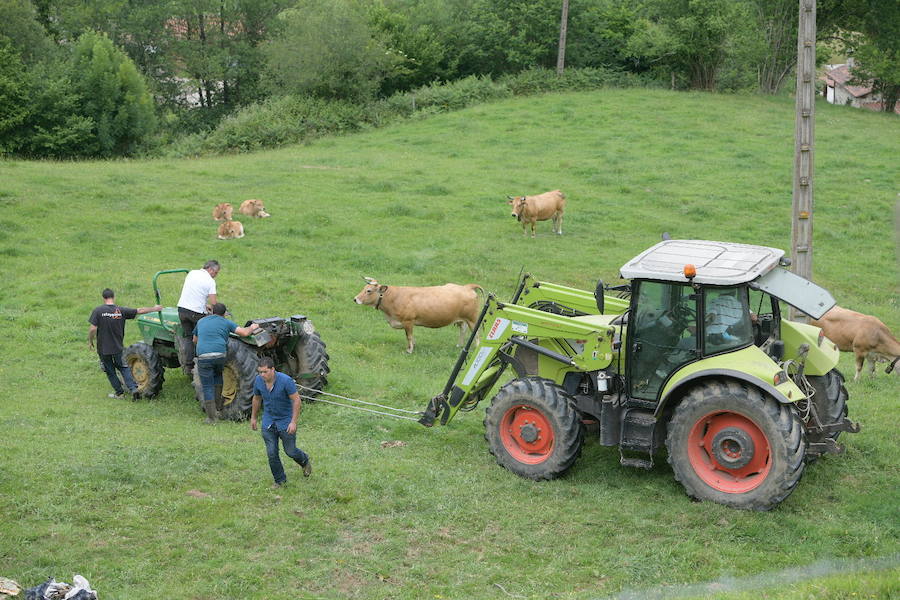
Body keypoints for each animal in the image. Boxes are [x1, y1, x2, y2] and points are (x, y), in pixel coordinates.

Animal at [352, 278, 482, 354]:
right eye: (364, 288)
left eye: (369, 290)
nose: (355, 299)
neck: (394, 297)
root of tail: (466, 286)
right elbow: (411, 337)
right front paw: (413, 346)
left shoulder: (408, 321)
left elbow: (408, 336)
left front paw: (409, 350)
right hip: (462, 319)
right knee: (463, 329)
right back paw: (459, 345)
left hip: (472, 319)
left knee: (476, 333)